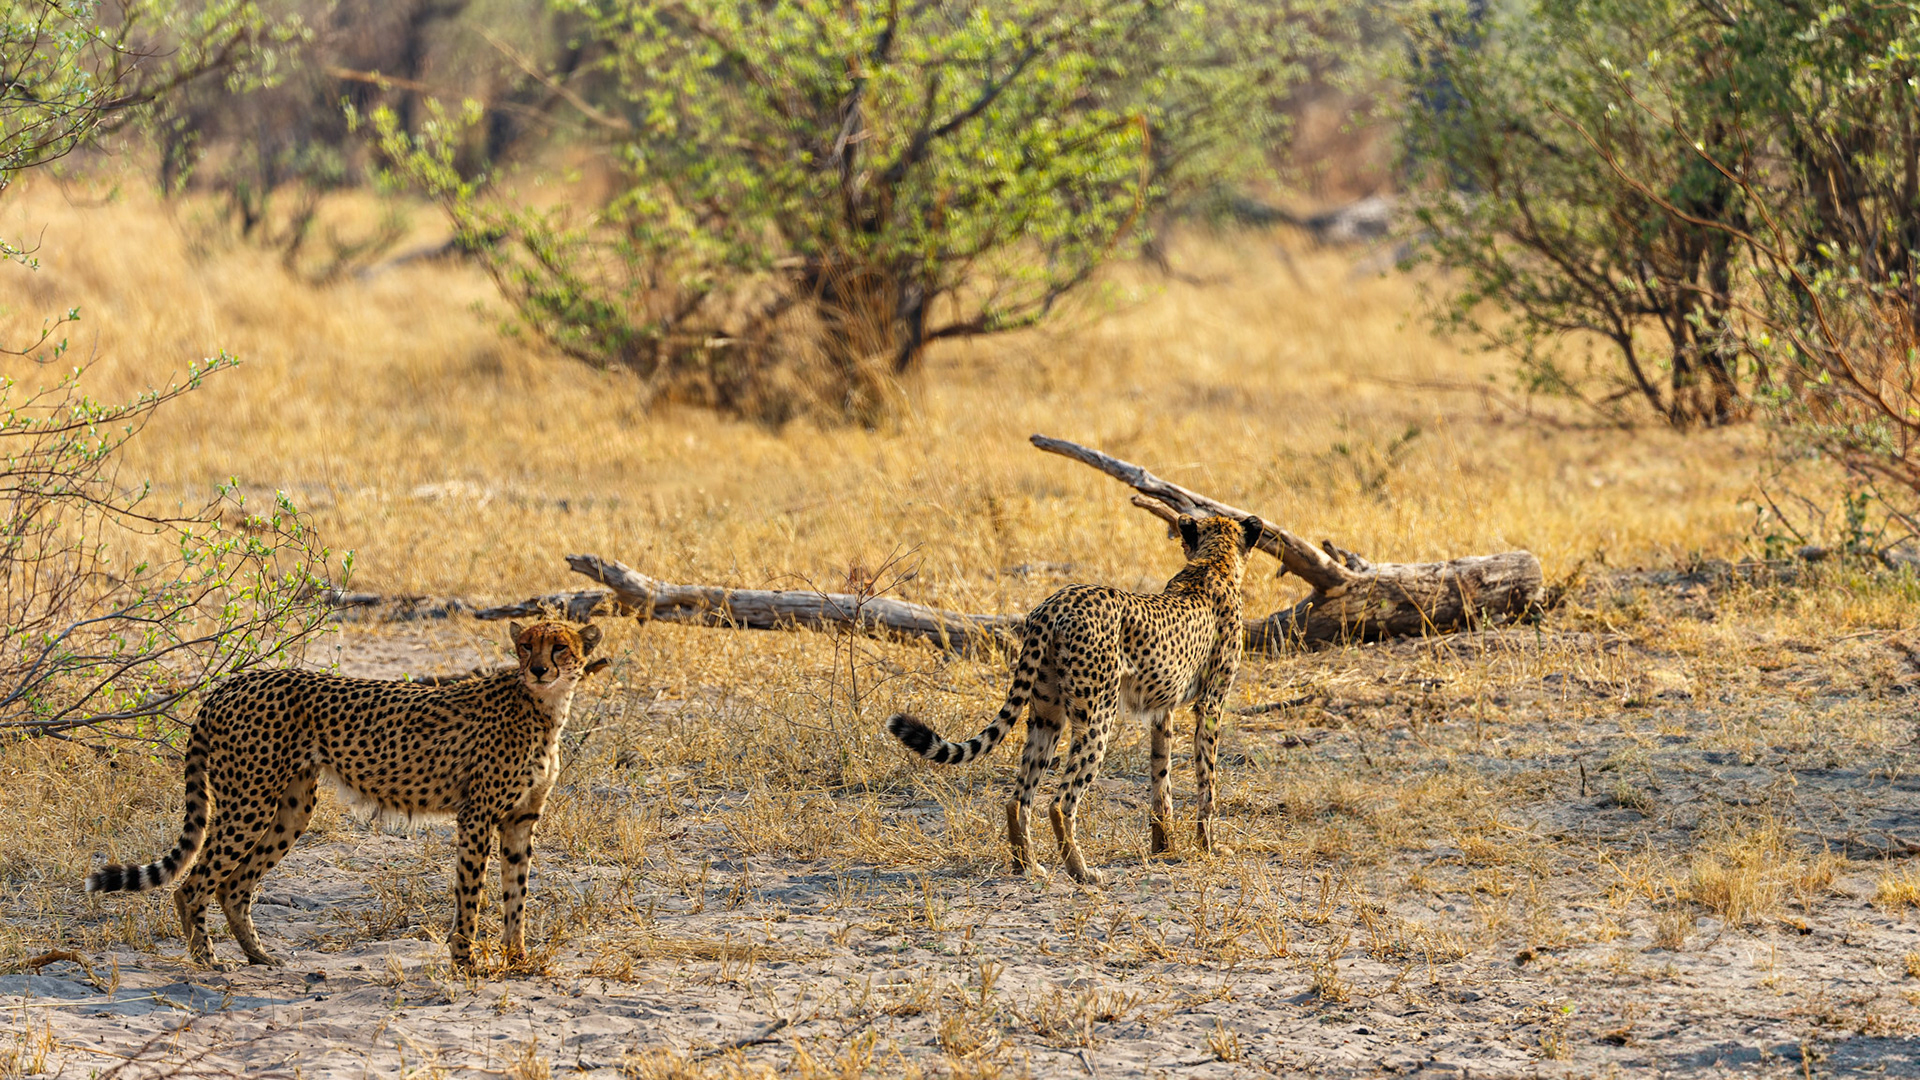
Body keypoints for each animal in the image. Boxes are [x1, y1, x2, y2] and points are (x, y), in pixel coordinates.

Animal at [84, 619, 610, 968]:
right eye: (525, 646)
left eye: (560, 647)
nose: (539, 669)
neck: (544, 707)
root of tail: (233, 682)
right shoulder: (476, 816)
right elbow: (471, 894)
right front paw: (465, 962)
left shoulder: (521, 819)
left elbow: (516, 893)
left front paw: (517, 959)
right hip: (248, 801)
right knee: (193, 884)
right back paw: (208, 960)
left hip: (292, 808)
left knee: (233, 886)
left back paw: (260, 956)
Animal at [887, 512, 1264, 885]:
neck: (1213, 560)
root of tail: (1055, 603)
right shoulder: (1211, 703)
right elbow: (1207, 781)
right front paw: (1207, 847)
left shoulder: (1162, 712)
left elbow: (1161, 780)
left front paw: (1163, 846)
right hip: (1097, 716)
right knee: (1060, 801)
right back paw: (1081, 870)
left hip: (1046, 715)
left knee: (1018, 797)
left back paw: (1027, 866)